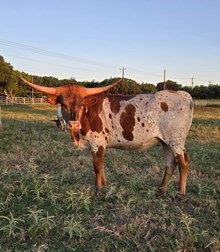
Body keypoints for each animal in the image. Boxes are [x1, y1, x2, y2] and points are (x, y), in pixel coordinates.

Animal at [19, 77, 193, 195]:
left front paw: (98, 190)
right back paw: (161, 190)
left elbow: (97, 166)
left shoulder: (97, 142)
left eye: (82, 103)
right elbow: (101, 165)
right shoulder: (100, 144)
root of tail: (182, 94)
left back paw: (181, 193)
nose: (73, 124)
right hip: (165, 141)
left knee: (183, 162)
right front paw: (104, 185)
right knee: (170, 164)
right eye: (63, 104)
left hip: (176, 140)